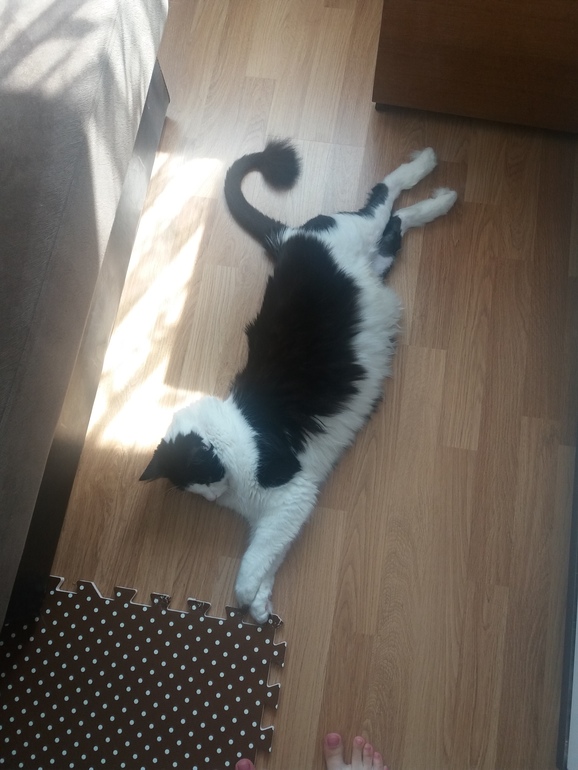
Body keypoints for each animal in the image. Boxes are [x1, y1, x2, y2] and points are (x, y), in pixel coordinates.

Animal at [140, 140, 457, 622]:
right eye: (192, 490)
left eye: (202, 474)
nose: (210, 496)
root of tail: (291, 238)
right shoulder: (281, 513)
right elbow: (269, 556)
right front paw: (262, 603)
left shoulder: (292, 493)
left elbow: (249, 567)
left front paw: (251, 600)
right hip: (377, 261)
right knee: (399, 221)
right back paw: (441, 200)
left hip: (359, 232)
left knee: (386, 194)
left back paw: (430, 170)